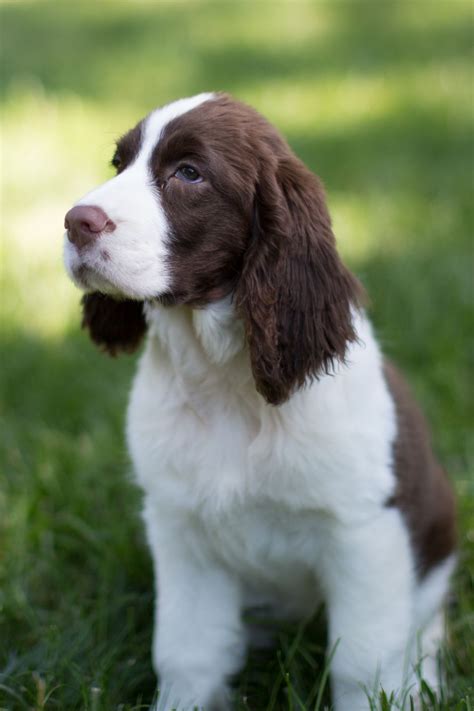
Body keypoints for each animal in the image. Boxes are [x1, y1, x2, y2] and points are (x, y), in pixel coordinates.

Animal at [63, 94, 456, 711]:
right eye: (118, 163)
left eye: (189, 173)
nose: (76, 222)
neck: (226, 386)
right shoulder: (182, 530)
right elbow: (188, 653)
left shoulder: (365, 533)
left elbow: (363, 664)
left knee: (426, 622)